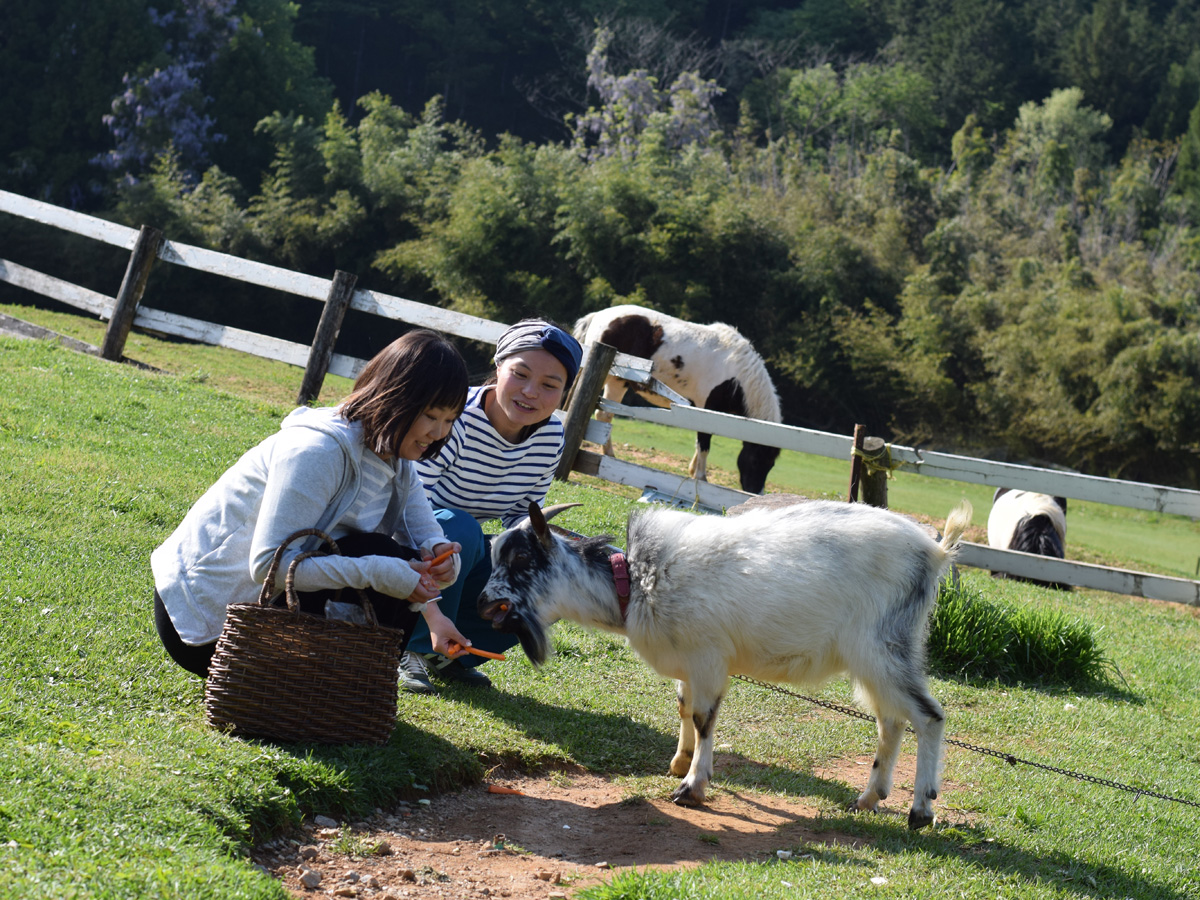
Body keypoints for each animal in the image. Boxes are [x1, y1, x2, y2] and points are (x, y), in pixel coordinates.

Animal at [472, 501, 969, 830]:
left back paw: (920, 810)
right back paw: (868, 798)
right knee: (891, 721)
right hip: (875, 658)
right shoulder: (690, 665)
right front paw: (679, 762)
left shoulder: (708, 658)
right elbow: (682, 706)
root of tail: (935, 553)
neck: (637, 583)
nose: (482, 602)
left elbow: (703, 717)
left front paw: (693, 787)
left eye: (521, 558)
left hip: (882, 646)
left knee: (928, 716)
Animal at [573, 309, 782, 494]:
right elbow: (704, 444)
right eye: (755, 461)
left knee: (603, 415)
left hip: (616, 381)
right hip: (611, 378)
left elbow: (701, 444)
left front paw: (693, 471)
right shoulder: (706, 409)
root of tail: (598, 316)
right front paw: (700, 477)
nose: (755, 492)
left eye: (771, 465)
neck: (735, 377)